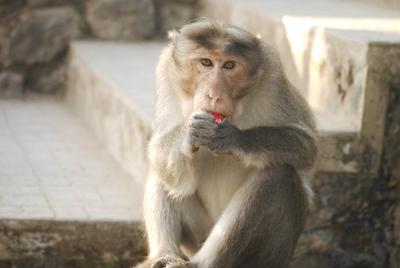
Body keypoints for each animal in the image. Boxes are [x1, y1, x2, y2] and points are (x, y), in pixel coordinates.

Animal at [136, 19, 318, 268]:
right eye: (205, 62)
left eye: (229, 65)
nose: (214, 95)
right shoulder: (166, 74)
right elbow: (160, 147)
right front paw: (186, 134)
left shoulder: (273, 78)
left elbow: (306, 147)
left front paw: (234, 139)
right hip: (198, 233)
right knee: (165, 172)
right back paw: (164, 255)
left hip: (270, 255)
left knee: (278, 175)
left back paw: (198, 264)